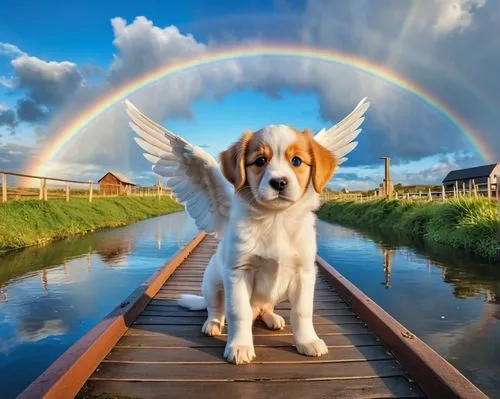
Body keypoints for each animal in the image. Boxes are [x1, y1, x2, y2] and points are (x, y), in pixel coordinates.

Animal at [180, 125, 336, 366]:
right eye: (261, 160)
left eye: (297, 161)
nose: (279, 182)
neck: (276, 219)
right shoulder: (238, 272)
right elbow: (239, 312)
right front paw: (240, 346)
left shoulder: (305, 273)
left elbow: (302, 311)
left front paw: (307, 341)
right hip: (212, 283)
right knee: (216, 308)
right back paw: (213, 324)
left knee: (265, 307)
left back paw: (272, 317)